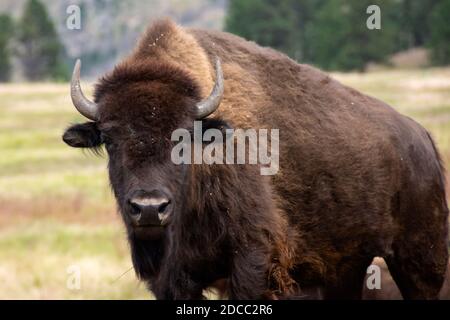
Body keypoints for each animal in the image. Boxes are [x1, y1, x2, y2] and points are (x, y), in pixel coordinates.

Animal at [61, 19, 448, 300]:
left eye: (184, 138)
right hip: (349, 266)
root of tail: (423, 140)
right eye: (110, 139)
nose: (149, 208)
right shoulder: (173, 278)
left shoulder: (255, 262)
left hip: (421, 261)